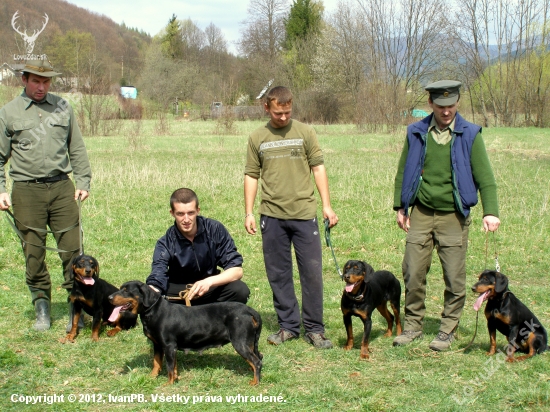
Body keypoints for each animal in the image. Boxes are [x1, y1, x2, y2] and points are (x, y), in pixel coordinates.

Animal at [109, 282, 264, 384]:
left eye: (125, 290)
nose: (109, 298)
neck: (153, 311)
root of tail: (250, 311)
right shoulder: (159, 345)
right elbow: (158, 363)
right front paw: (152, 377)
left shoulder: (169, 346)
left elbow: (169, 367)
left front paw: (169, 384)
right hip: (249, 343)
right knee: (258, 358)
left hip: (240, 342)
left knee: (256, 362)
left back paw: (254, 382)